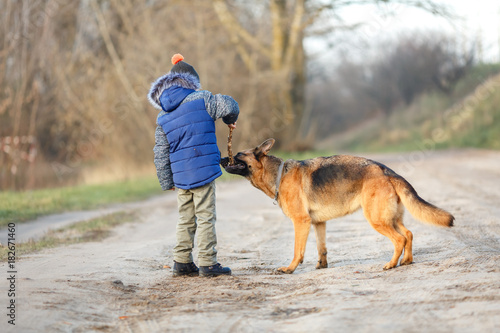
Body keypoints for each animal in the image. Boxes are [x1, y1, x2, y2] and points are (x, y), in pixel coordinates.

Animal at [222, 139, 454, 274]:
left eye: (239, 155)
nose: (222, 158)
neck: (279, 174)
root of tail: (387, 171)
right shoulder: (318, 224)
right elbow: (321, 248)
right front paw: (321, 266)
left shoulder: (301, 222)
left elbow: (298, 250)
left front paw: (290, 268)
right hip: (390, 218)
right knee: (409, 234)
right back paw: (406, 261)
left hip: (377, 219)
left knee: (400, 239)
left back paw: (391, 264)